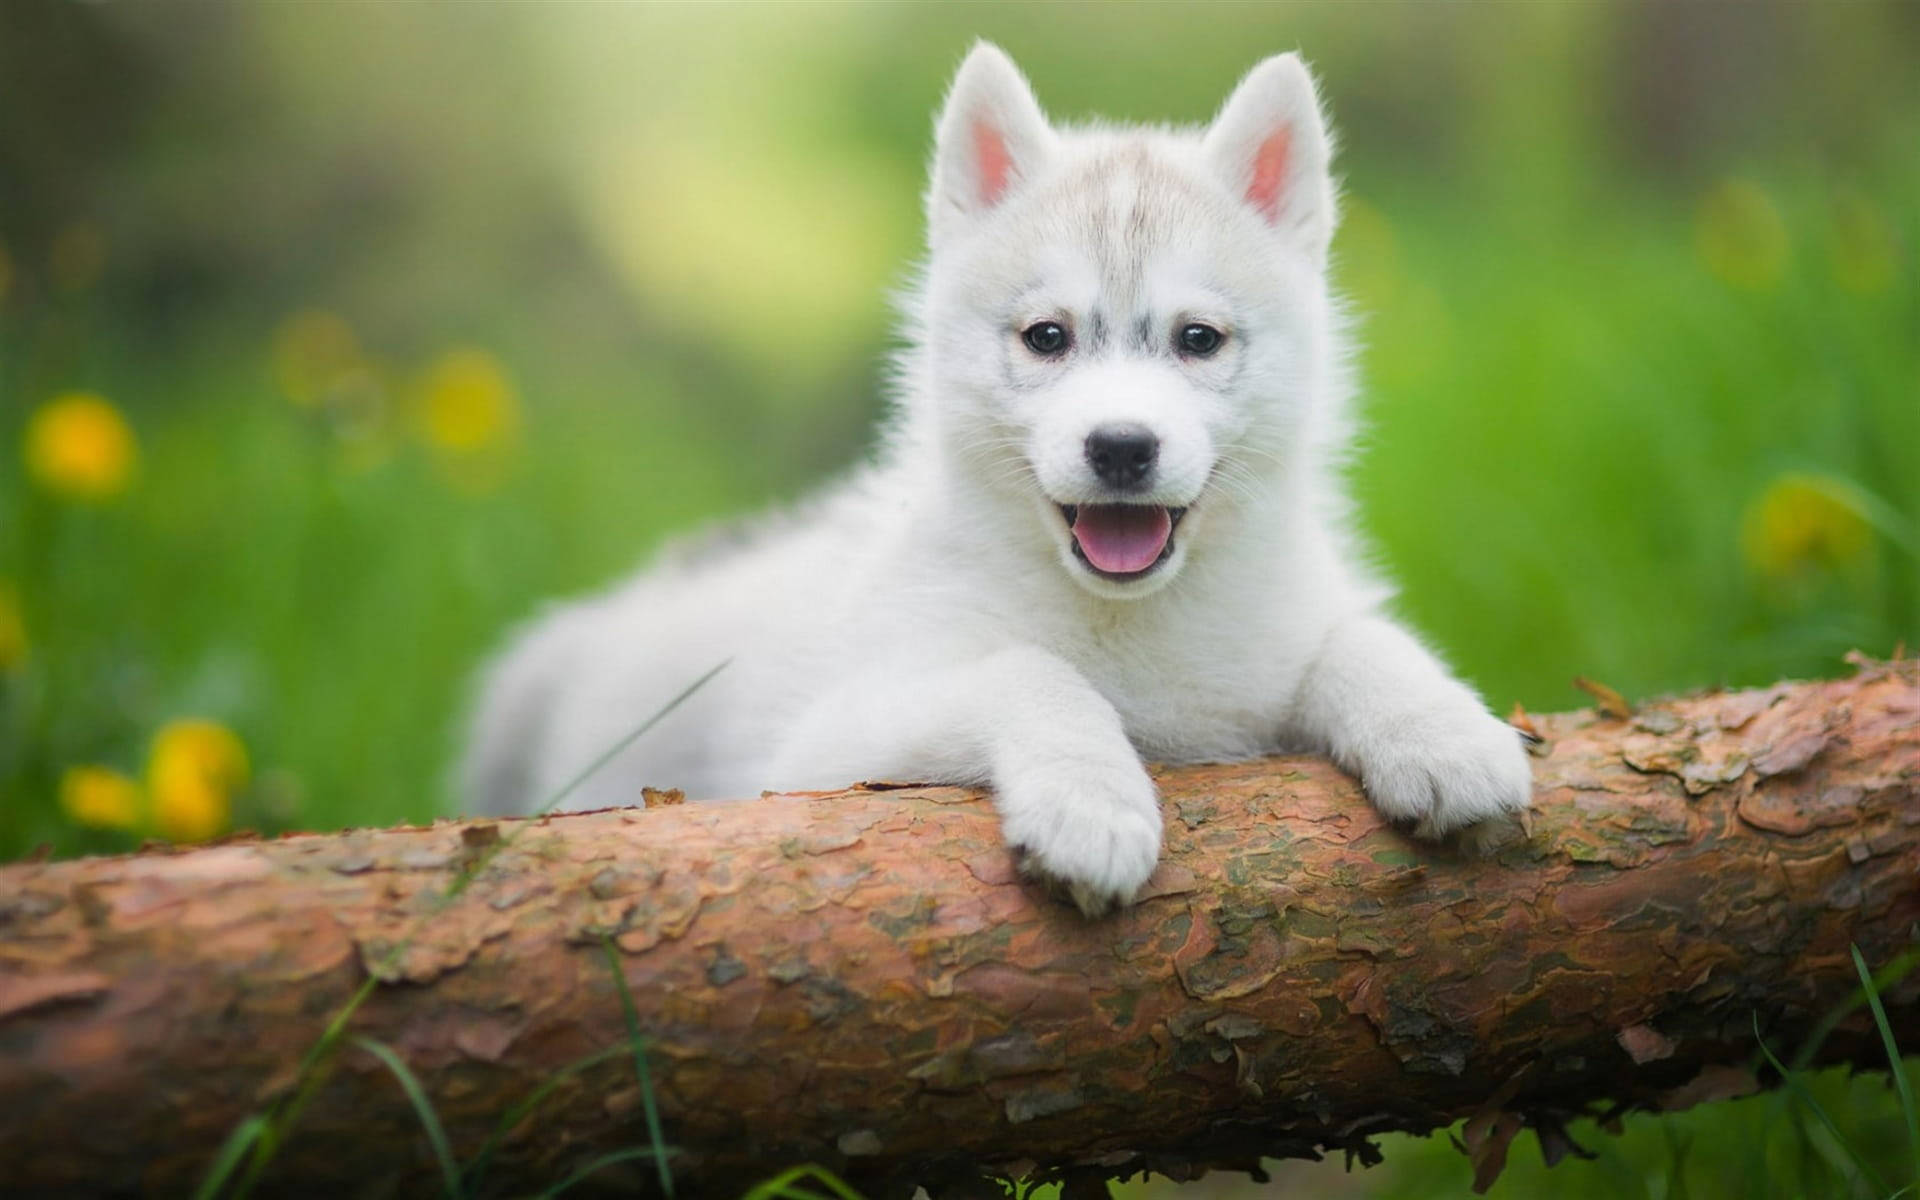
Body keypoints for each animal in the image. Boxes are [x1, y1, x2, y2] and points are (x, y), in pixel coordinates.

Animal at [464, 42, 1528, 913]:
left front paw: (1445, 731)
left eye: (1199, 339)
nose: (1122, 447)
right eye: (1047, 337)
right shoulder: (827, 744)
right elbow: (1028, 670)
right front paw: (1092, 800)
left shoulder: (1276, 644)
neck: (1128, 626)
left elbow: (1359, 638)